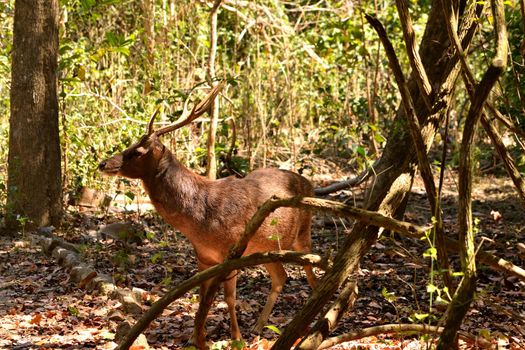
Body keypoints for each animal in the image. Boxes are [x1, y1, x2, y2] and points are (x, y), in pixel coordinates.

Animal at [100, 82, 318, 348]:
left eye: (138, 151)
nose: (103, 164)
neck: (198, 220)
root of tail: (310, 184)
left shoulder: (231, 251)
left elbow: (229, 298)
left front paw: (236, 338)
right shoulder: (203, 256)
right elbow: (203, 297)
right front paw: (194, 338)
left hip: (303, 232)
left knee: (311, 271)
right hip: (266, 247)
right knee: (281, 277)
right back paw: (258, 326)